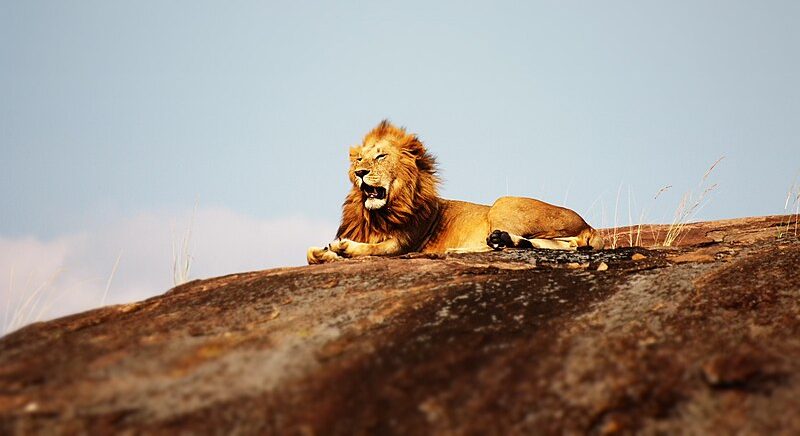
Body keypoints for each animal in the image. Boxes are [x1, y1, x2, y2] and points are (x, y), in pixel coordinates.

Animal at [306, 119, 600, 264]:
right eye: (358, 159)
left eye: (380, 156)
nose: (360, 172)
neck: (377, 214)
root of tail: (590, 226)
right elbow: (310, 254)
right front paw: (324, 252)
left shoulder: (402, 244)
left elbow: (372, 249)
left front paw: (342, 247)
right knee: (561, 244)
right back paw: (492, 242)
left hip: (503, 203)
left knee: (569, 244)